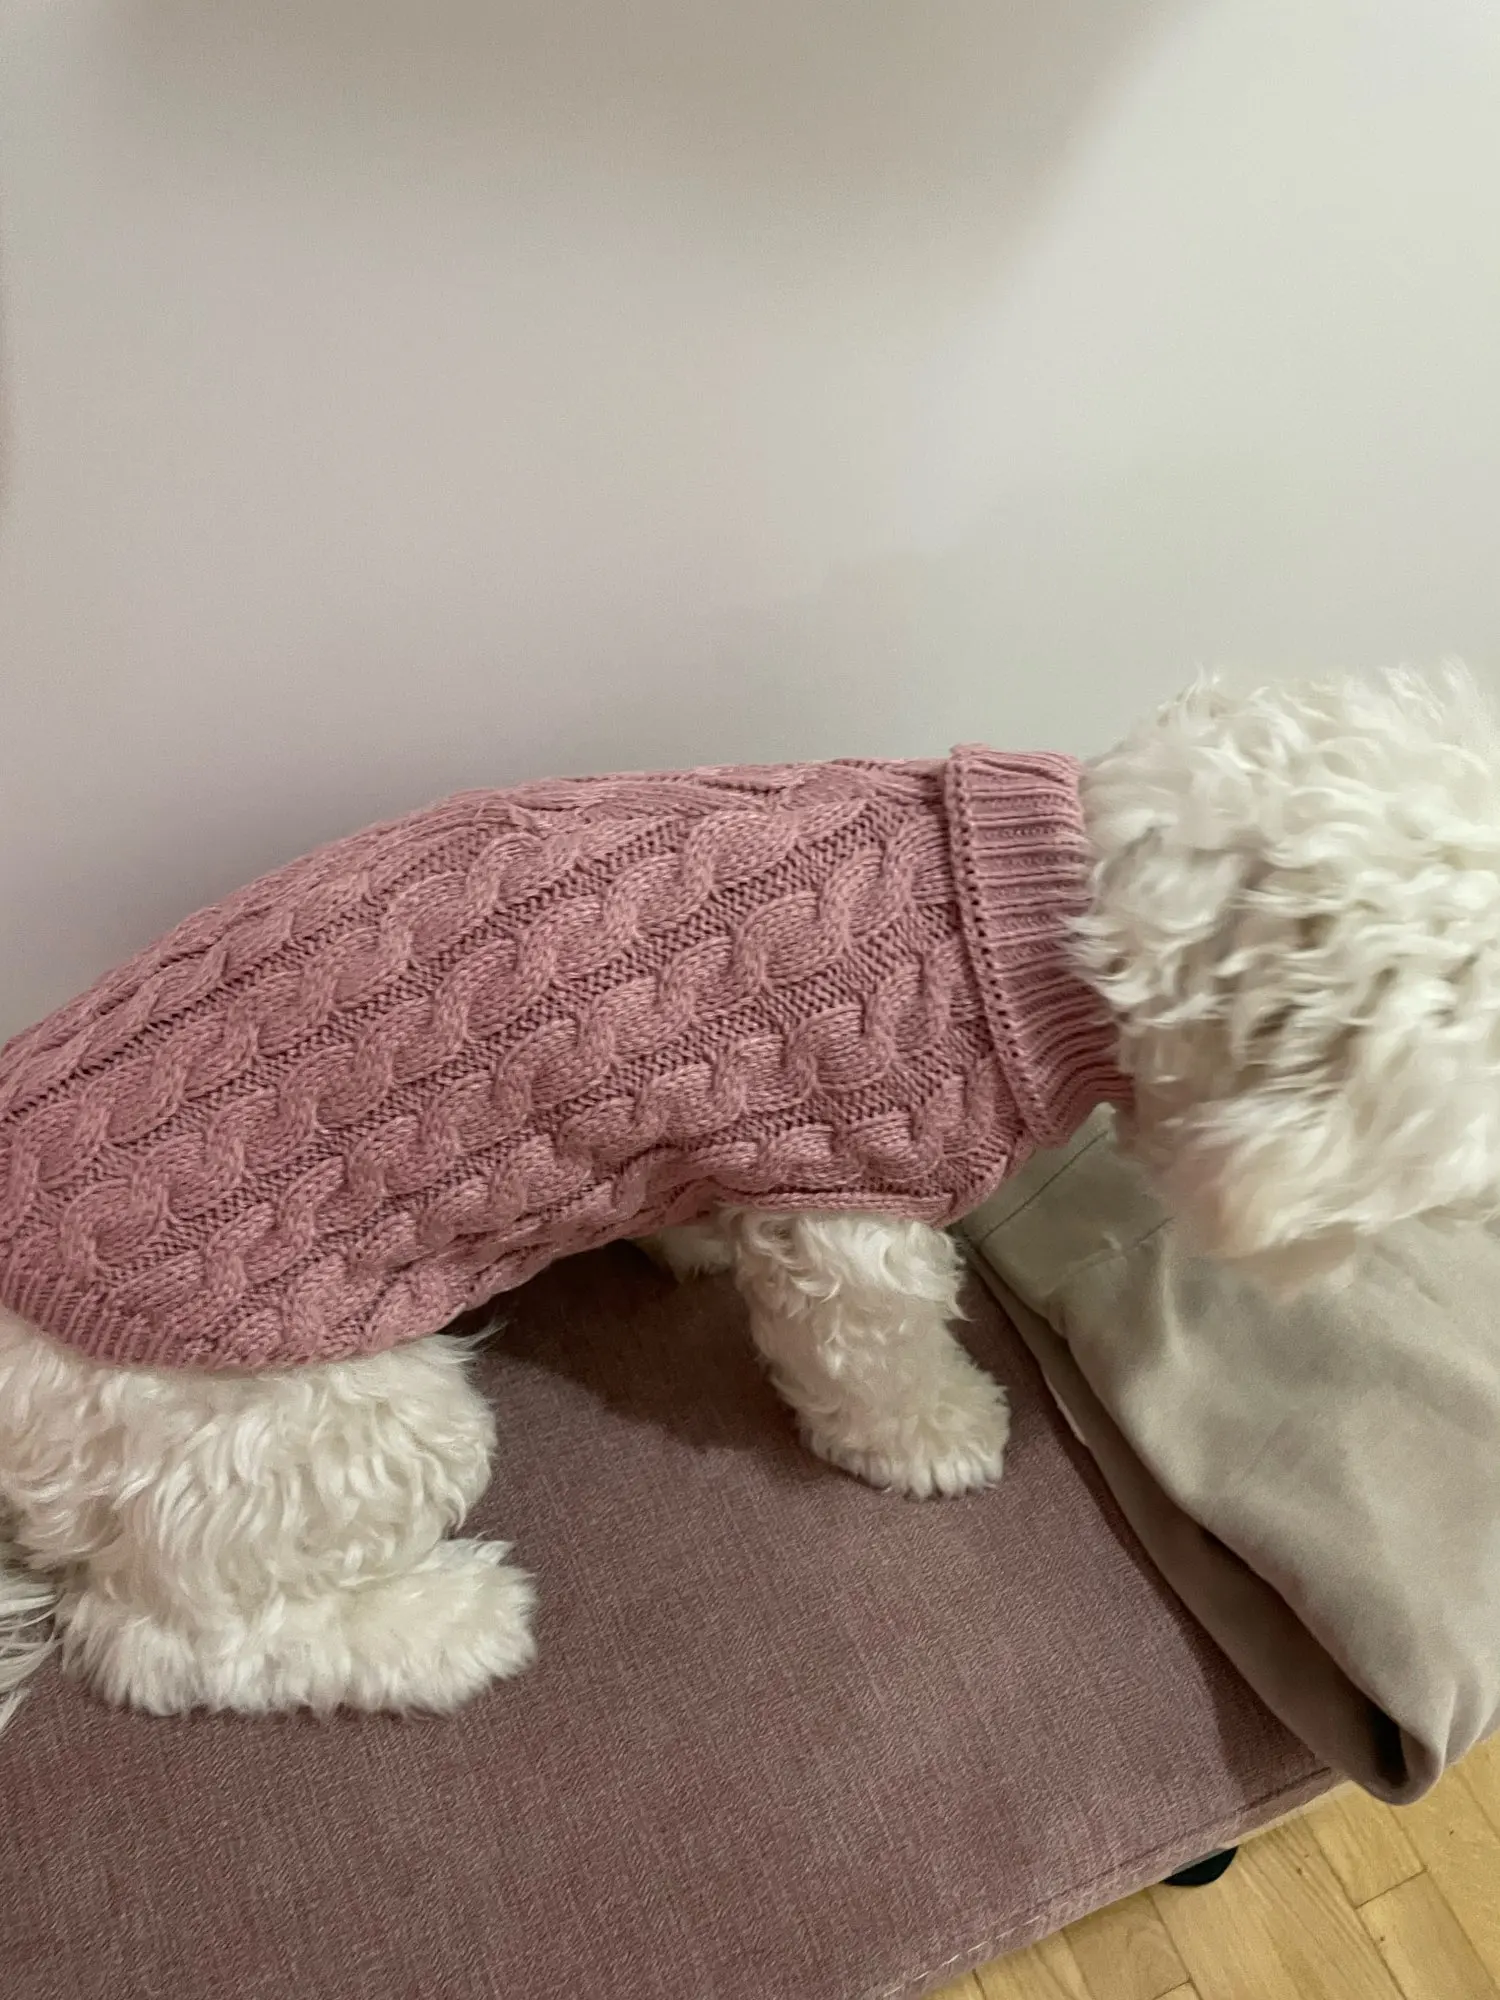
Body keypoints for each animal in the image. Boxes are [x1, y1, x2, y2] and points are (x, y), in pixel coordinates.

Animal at [4, 668, 1500, 1725]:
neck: (1053, 925)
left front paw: (689, 1238)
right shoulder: (863, 1206)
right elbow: (876, 1355)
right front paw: (933, 1436)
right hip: (315, 1422)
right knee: (160, 1640)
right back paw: (442, 1630)